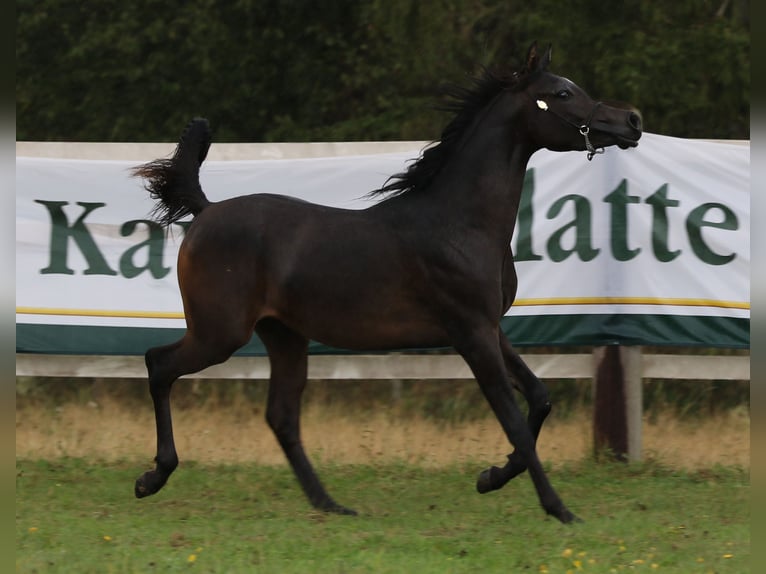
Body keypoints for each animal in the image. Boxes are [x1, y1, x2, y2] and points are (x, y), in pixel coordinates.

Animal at [131, 42, 642, 524]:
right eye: (562, 94)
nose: (632, 120)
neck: (461, 222)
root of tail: (206, 210)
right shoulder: (471, 332)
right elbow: (513, 419)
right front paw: (558, 508)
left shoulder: (490, 327)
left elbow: (539, 398)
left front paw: (491, 477)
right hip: (220, 333)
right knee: (159, 364)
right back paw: (152, 478)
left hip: (284, 335)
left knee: (281, 415)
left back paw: (331, 505)